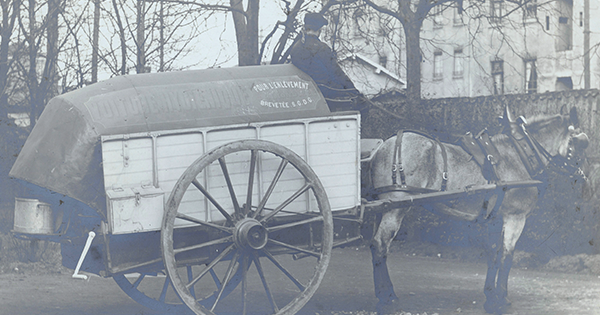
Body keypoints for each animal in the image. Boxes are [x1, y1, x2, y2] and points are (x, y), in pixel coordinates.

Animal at [368, 105, 588, 314]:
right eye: (582, 143)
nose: (582, 176)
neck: (520, 153)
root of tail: (382, 147)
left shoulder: (494, 220)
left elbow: (493, 255)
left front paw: (490, 294)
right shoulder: (515, 218)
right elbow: (507, 257)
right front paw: (501, 297)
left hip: (384, 208)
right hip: (395, 207)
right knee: (380, 244)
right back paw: (388, 296)